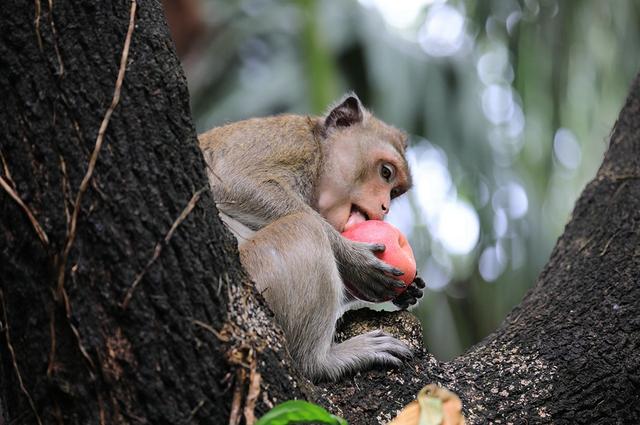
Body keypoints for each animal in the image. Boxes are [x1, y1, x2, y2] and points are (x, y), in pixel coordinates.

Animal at [198, 93, 422, 380]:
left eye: (394, 193)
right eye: (386, 172)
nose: (384, 208)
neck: (319, 157)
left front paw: (408, 289)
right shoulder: (289, 141)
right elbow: (235, 182)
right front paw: (355, 259)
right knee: (307, 227)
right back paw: (321, 361)